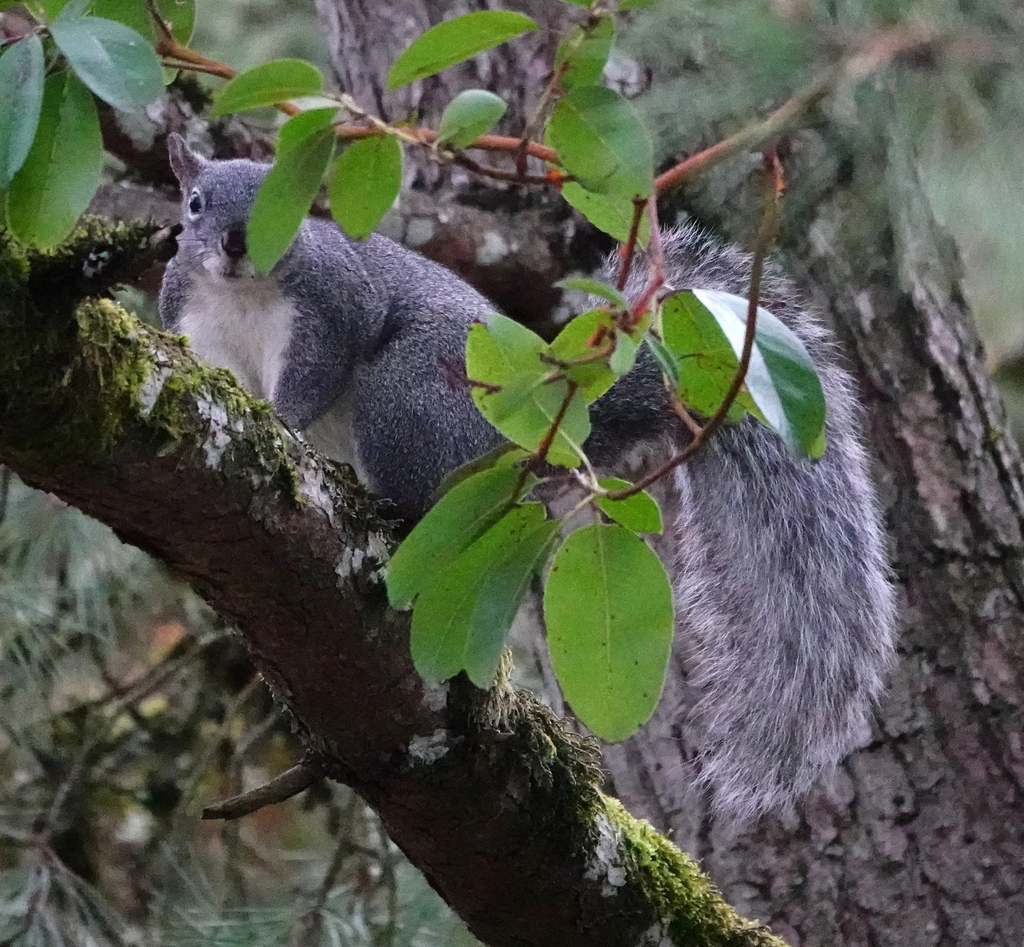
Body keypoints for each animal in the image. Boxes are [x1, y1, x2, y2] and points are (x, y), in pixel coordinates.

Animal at [159, 133, 896, 819]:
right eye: (193, 203)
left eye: (286, 200)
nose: (234, 245)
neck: (241, 296)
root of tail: (548, 435)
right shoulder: (199, 325)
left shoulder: (332, 310)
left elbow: (315, 377)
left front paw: (281, 419)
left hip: (407, 399)